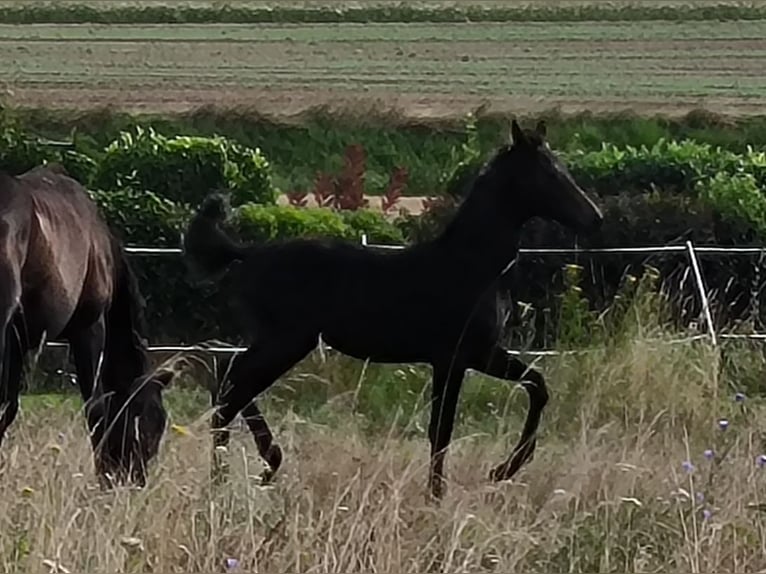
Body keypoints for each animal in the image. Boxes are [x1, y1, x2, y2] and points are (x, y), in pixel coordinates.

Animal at [0, 164, 176, 488]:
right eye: (151, 420)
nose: (135, 480)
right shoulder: (89, 330)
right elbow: (96, 407)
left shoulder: (18, 341)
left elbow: (7, 407)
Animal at [183, 121, 604, 500]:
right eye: (546, 173)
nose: (594, 218)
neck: (471, 266)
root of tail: (245, 254)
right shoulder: (458, 357)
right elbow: (442, 429)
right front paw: (446, 492)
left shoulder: (476, 355)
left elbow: (536, 386)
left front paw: (499, 471)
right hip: (285, 341)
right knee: (231, 388)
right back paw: (235, 476)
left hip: (277, 341)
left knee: (228, 380)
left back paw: (262, 464)